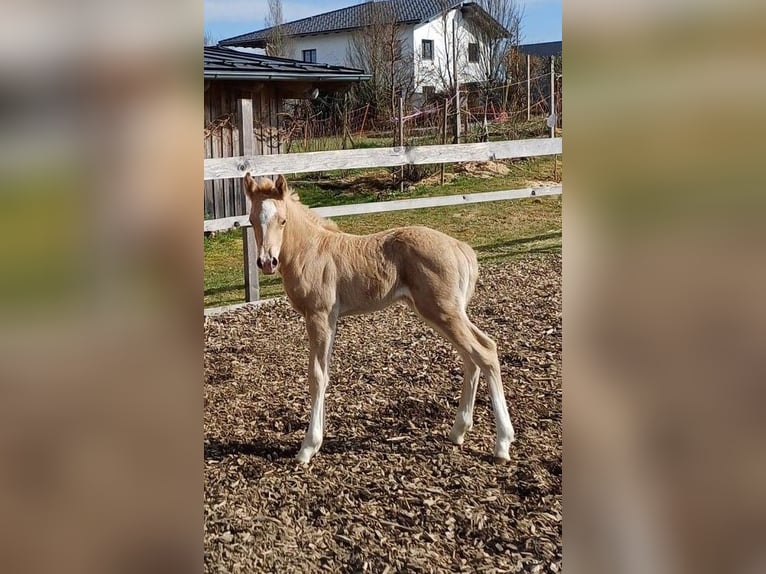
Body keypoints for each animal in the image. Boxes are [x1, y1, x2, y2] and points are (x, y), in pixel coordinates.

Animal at [243, 173, 514, 464]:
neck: (311, 252)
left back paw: (502, 445)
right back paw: (459, 431)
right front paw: (317, 441)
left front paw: (307, 447)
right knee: (474, 354)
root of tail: (460, 248)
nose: (267, 262)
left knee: (485, 352)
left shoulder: (319, 315)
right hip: (445, 311)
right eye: (251, 220)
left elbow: (316, 376)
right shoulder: (331, 319)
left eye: (283, 220)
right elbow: (325, 373)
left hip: (443, 311)